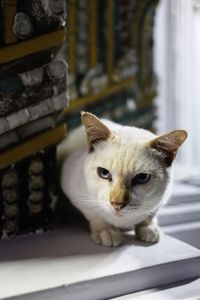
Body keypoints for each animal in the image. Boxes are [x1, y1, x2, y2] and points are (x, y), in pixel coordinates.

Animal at [56, 111, 188, 247]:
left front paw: (148, 228)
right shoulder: (75, 191)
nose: (117, 204)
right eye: (103, 173)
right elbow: (95, 214)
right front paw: (107, 231)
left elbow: (150, 215)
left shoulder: (162, 199)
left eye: (142, 177)